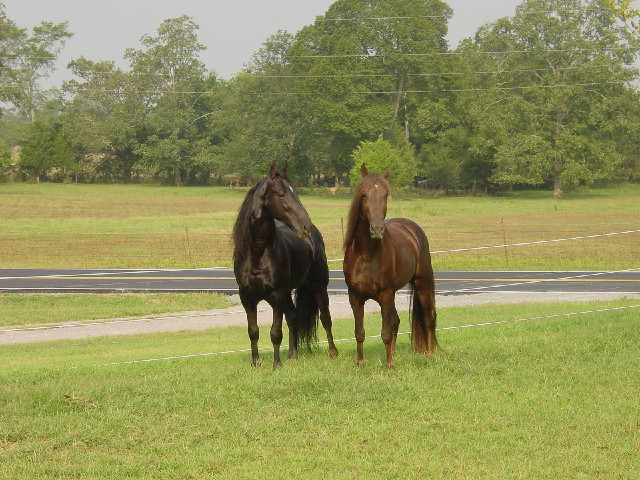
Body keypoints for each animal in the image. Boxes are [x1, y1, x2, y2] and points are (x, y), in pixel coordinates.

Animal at [232, 162, 339, 368]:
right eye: (281, 194)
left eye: (295, 192)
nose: (305, 226)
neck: (257, 253)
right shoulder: (247, 297)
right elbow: (253, 330)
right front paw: (255, 363)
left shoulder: (276, 295)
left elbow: (275, 331)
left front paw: (276, 365)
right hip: (288, 291)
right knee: (293, 317)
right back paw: (293, 353)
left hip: (318, 285)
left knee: (325, 317)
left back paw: (332, 352)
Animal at [343, 164, 437, 369]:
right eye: (364, 195)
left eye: (385, 194)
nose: (377, 229)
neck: (365, 255)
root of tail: (412, 229)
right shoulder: (355, 297)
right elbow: (359, 332)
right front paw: (360, 362)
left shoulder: (385, 294)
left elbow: (385, 331)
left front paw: (389, 365)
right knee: (396, 321)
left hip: (422, 283)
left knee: (428, 318)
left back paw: (430, 354)